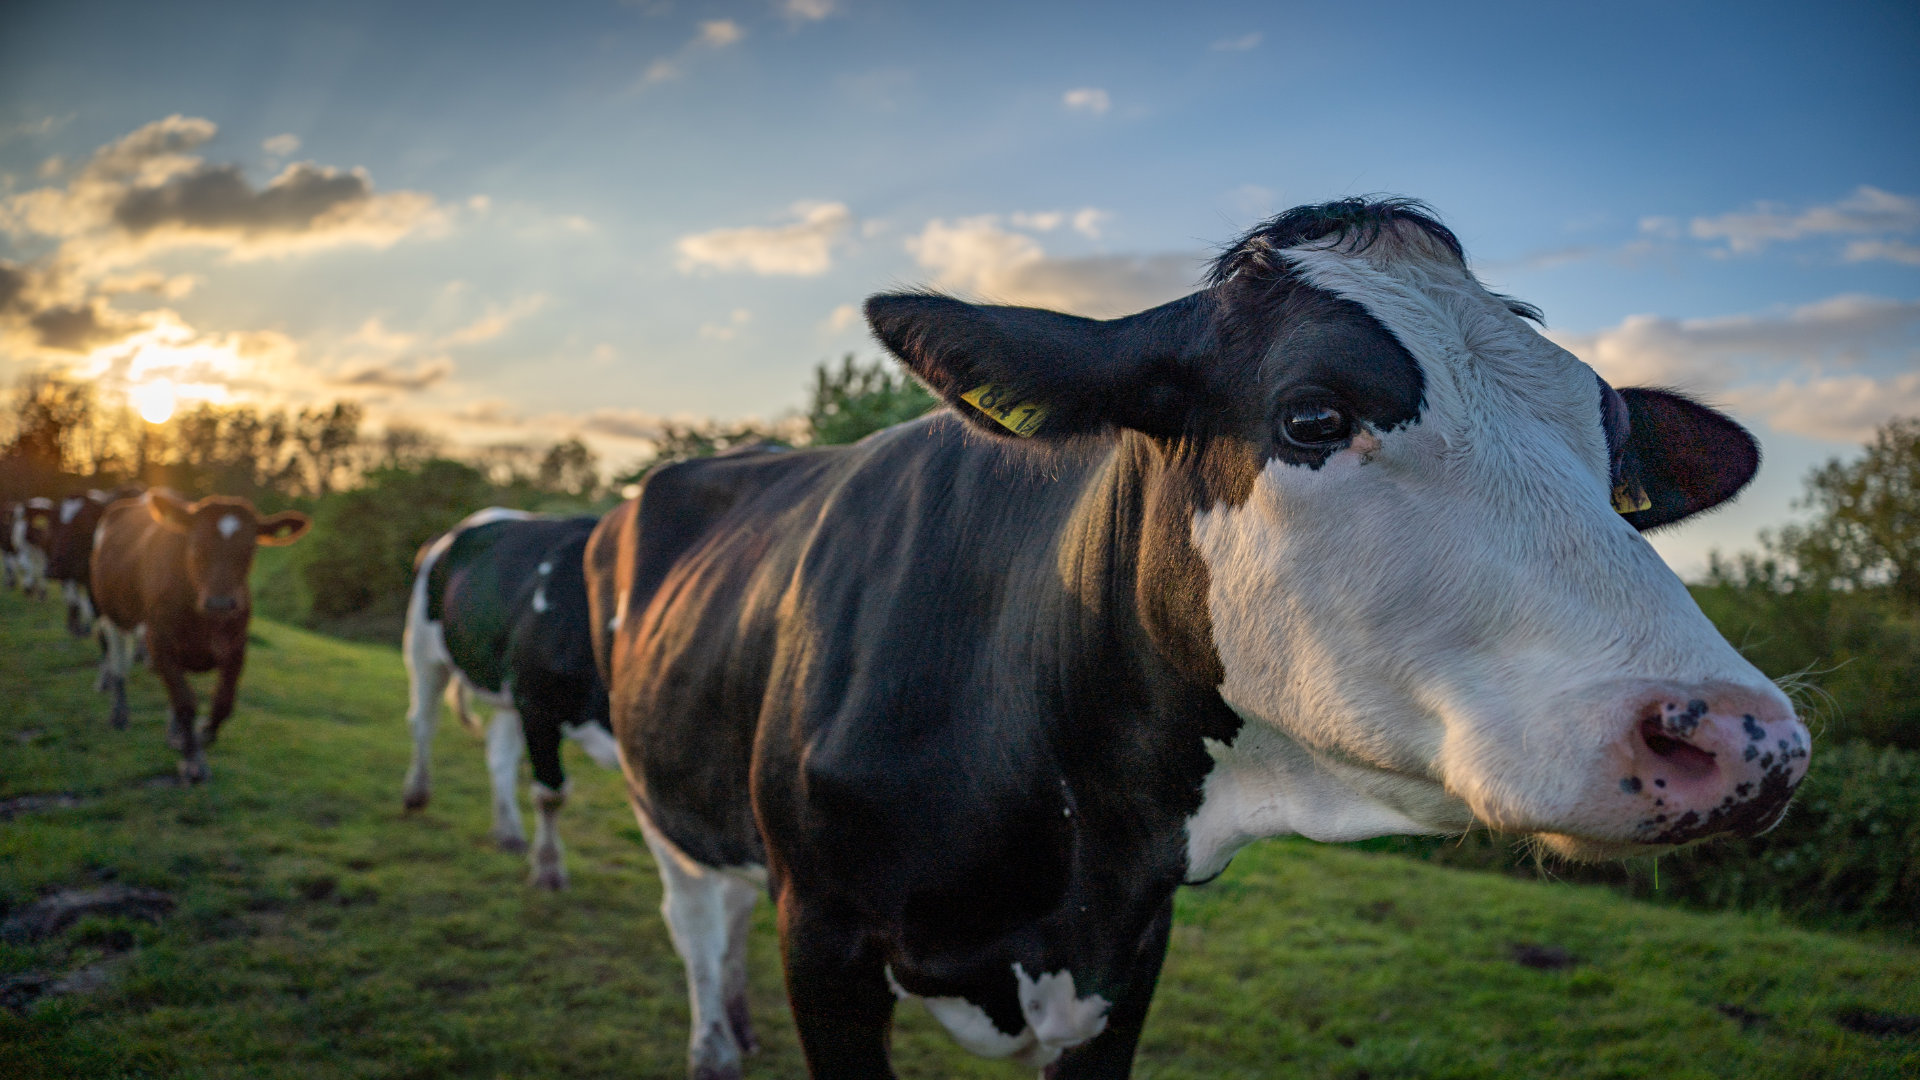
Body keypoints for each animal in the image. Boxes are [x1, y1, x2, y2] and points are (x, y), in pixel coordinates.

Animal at [91, 490, 311, 782]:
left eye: (250, 549)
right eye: (195, 545)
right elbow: (185, 701)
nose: (220, 603)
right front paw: (193, 761)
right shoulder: (158, 642)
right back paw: (119, 714)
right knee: (117, 663)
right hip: (113, 613)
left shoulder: (237, 647)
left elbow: (223, 703)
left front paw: (203, 733)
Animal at [400, 508, 622, 890]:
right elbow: (551, 794)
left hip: (508, 691)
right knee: (423, 723)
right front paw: (548, 868)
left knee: (498, 750)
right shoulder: (538, 707)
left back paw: (508, 831)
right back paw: (416, 793)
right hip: (424, 649)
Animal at [584, 199, 1812, 1079]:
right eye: (1312, 414)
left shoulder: (1131, 956)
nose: (1742, 738)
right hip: (663, 796)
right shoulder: (826, 941)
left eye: (1614, 454)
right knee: (695, 917)